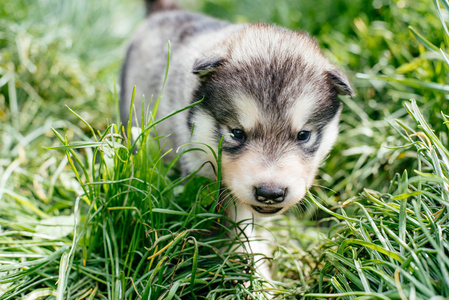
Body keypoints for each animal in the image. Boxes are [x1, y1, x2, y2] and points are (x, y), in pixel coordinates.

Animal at [121, 0, 352, 276]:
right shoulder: (202, 174)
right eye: (237, 133)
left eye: (303, 135)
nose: (270, 193)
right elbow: (235, 229)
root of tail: (166, 10)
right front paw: (252, 272)